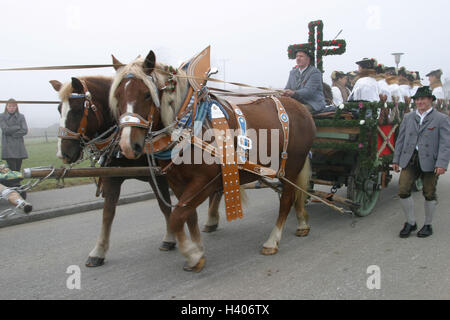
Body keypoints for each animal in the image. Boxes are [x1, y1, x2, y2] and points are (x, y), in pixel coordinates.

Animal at [50, 75, 175, 268]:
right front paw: (98, 251)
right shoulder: (112, 176)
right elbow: (107, 213)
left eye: (77, 110)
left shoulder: (159, 175)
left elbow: (165, 206)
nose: (63, 154)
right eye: (58, 109)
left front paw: (170, 237)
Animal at [110, 51, 314, 272]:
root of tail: (301, 108)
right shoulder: (177, 183)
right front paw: (197, 250)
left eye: (147, 94)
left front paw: (191, 254)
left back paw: (272, 240)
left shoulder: (204, 182)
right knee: (297, 195)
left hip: (291, 166)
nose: (128, 145)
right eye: (118, 96)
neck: (189, 128)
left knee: (287, 199)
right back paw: (302, 223)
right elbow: (188, 215)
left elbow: (176, 217)